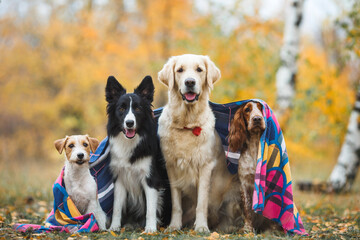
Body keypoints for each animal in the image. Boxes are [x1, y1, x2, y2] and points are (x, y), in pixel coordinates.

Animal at [105, 75, 170, 232]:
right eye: (121, 108)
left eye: (138, 108)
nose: (129, 123)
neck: (130, 142)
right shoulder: (120, 179)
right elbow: (116, 207)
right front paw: (114, 228)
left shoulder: (151, 179)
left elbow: (151, 209)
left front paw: (151, 229)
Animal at [159, 54, 235, 232]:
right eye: (180, 70)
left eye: (199, 69)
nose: (190, 82)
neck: (187, 124)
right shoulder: (171, 166)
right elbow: (176, 203)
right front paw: (174, 226)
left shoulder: (205, 166)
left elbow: (202, 201)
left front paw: (201, 227)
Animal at [229, 101, 280, 232]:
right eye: (247, 109)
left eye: (261, 108)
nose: (257, 119)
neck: (255, 146)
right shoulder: (244, 184)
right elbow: (247, 208)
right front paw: (248, 229)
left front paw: (273, 230)